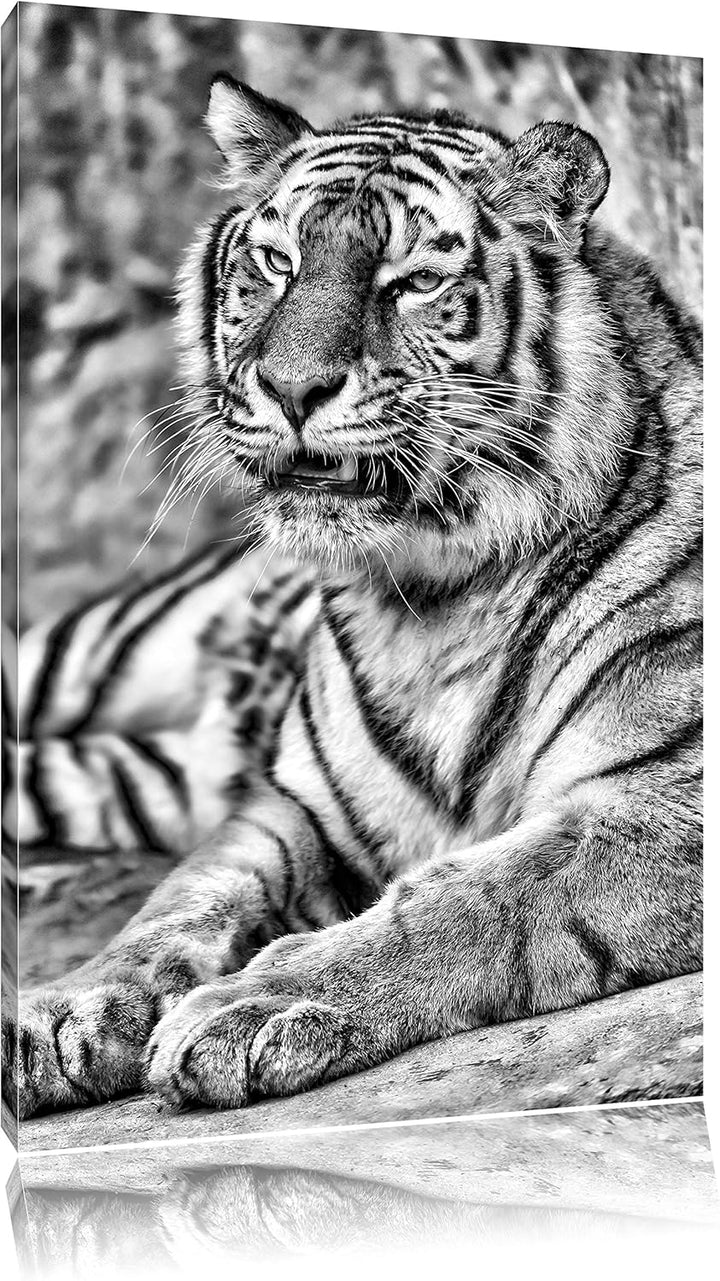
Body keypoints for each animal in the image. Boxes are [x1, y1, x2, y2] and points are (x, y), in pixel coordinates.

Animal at [2, 74, 701, 1123]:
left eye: (409, 282)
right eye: (276, 263)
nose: (291, 388)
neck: (434, 599)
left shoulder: (667, 800)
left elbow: (469, 896)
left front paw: (253, 1005)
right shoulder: (295, 808)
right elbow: (178, 903)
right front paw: (65, 1007)